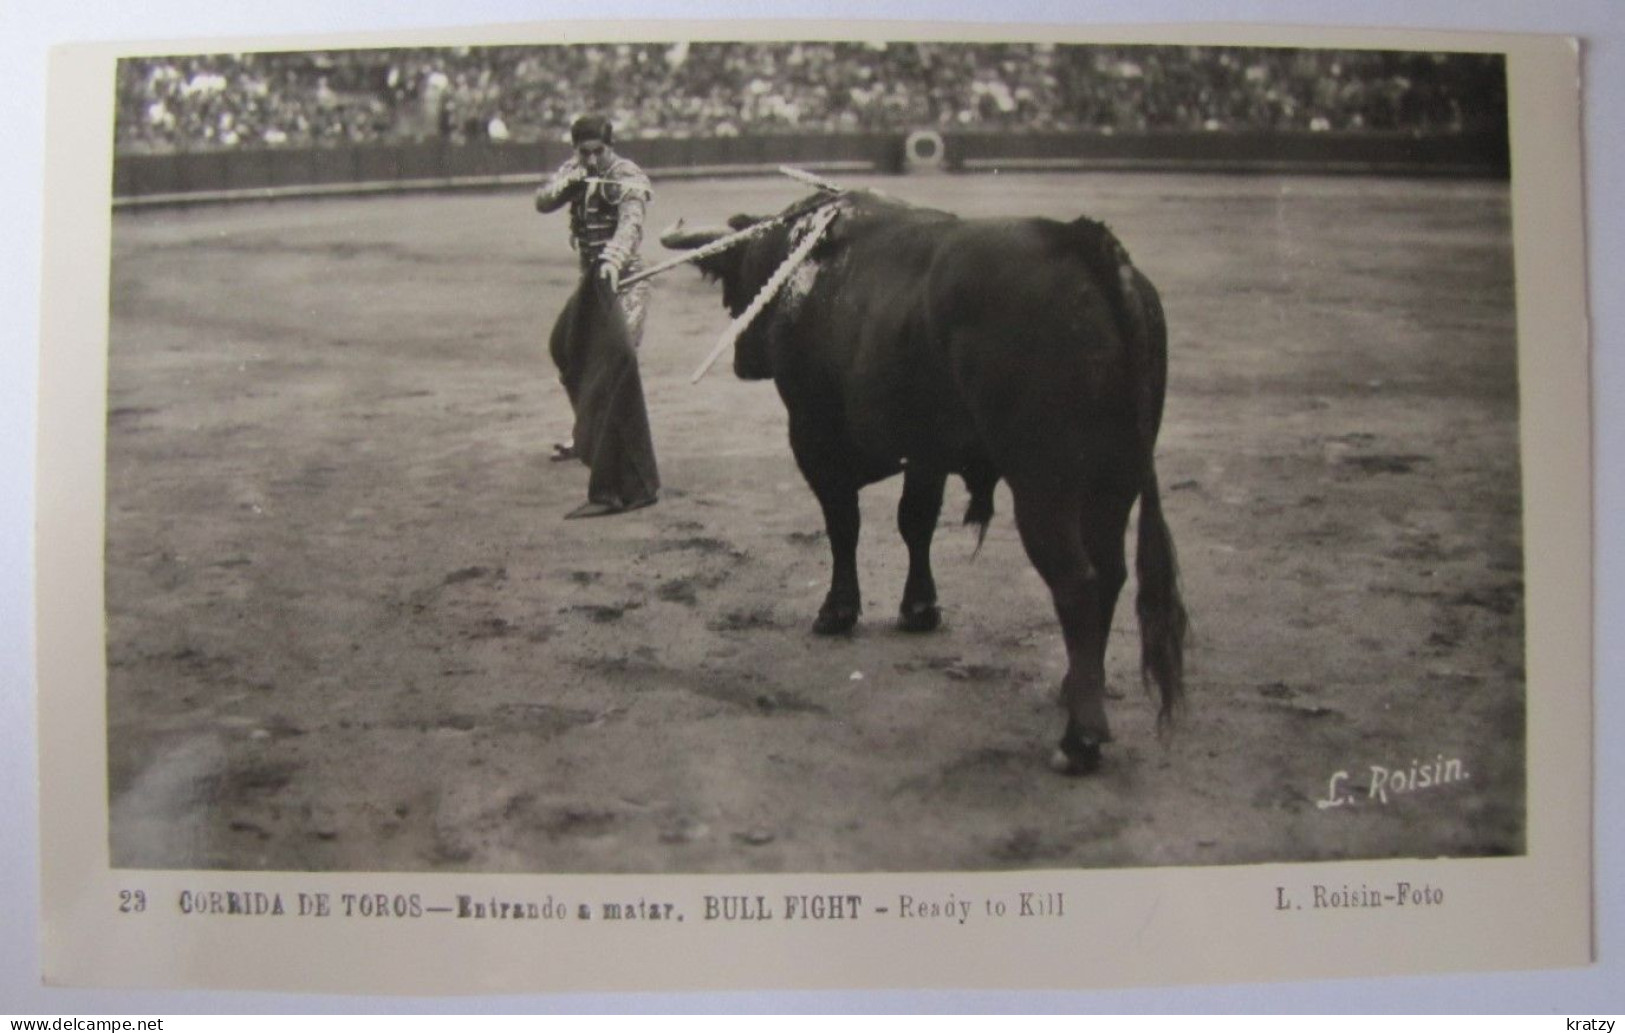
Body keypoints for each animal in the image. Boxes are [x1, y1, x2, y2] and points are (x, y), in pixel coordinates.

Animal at [663, 191, 1196, 773]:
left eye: (738, 280)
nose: (742, 361)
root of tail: (1082, 241)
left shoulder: (813, 437)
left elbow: (844, 525)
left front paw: (837, 611)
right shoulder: (926, 452)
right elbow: (914, 523)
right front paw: (919, 608)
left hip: (1044, 485)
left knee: (1077, 582)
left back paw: (1080, 738)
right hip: (1114, 480)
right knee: (1111, 572)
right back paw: (1076, 686)